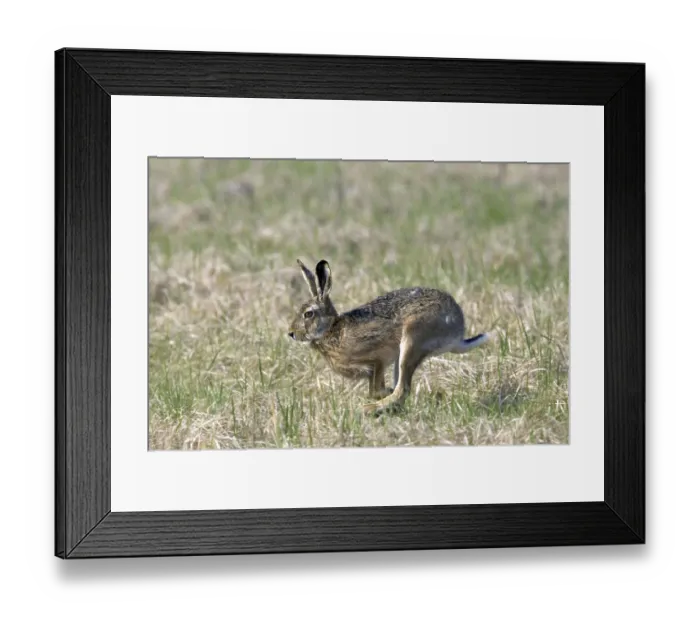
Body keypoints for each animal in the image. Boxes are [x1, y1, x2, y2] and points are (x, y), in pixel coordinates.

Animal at [288, 258, 490, 415]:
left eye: (308, 314)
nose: (291, 333)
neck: (331, 330)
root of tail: (457, 331)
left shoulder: (376, 360)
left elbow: (375, 389)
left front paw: (382, 394)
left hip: (412, 340)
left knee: (403, 389)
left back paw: (369, 409)